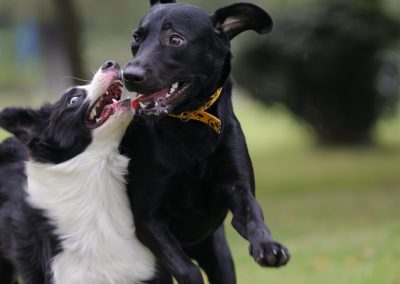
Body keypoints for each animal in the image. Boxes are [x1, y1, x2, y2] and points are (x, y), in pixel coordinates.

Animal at [122, 1, 290, 282]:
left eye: (175, 39)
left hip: (219, 255)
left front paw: (268, 247)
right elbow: (186, 269)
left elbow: (254, 216)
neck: (190, 125)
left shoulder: (238, 189)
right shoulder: (148, 219)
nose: (129, 75)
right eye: (137, 37)